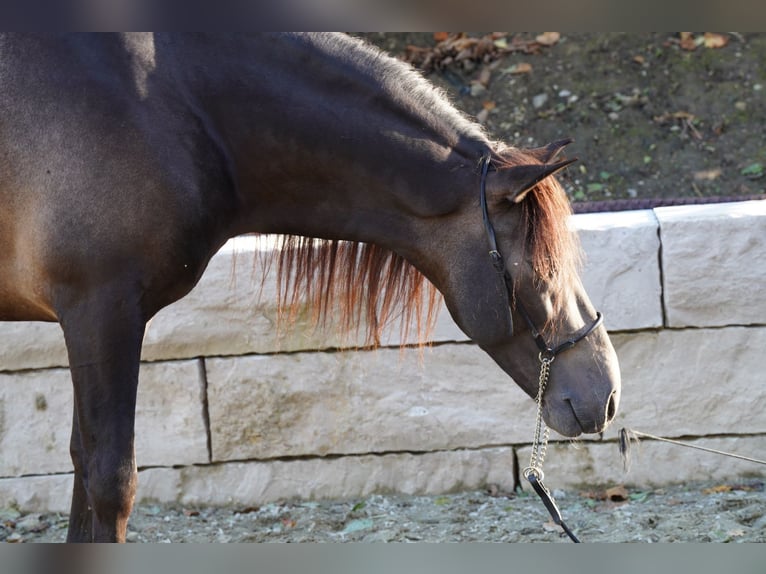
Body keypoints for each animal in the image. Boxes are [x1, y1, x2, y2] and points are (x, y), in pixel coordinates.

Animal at [0, 33, 620, 542]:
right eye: (541, 272)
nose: (608, 393)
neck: (169, 106)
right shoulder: (100, 313)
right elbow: (109, 481)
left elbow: (82, 473)